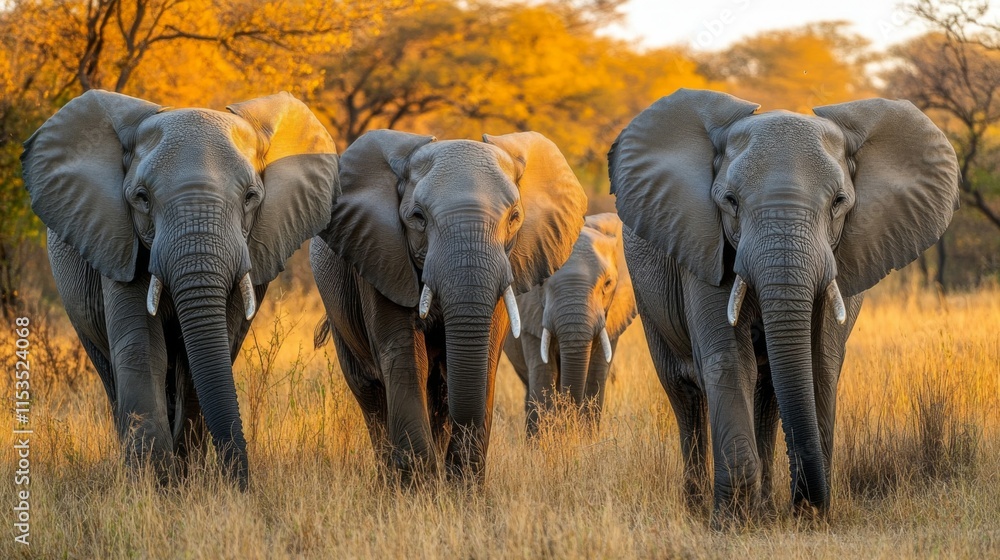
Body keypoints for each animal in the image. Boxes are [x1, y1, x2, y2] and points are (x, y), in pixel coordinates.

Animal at [20, 90, 339, 489]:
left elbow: (202, 355)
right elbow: (143, 350)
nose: (243, 487)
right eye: (142, 198)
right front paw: (153, 486)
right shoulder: (121, 241)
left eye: (251, 197)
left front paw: (182, 481)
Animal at [311, 129, 587, 481]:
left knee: (438, 391)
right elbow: (404, 356)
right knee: (370, 392)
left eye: (514, 217)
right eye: (418, 217)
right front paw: (420, 488)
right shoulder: (381, 256)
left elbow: (483, 358)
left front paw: (460, 486)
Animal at [502, 212, 636, 435]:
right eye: (541, 282)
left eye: (608, 284)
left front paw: (586, 439)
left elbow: (596, 374)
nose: (569, 424)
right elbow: (543, 373)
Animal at [608, 88, 959, 522]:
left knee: (768, 394)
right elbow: (729, 360)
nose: (803, 503)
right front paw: (731, 523)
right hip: (646, 292)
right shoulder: (705, 245)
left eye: (839, 202)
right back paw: (699, 507)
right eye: (730, 201)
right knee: (684, 394)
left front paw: (803, 518)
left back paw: (763, 509)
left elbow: (819, 361)